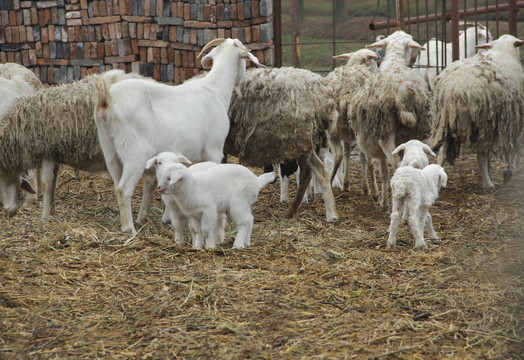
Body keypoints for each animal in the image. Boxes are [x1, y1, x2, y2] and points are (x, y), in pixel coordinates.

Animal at [0, 69, 147, 218]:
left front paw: (45, 216)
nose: (9, 212)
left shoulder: (47, 152)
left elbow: (47, 183)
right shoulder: (55, 153)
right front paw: (51, 210)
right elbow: (53, 183)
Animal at [94, 37, 264, 233]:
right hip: (134, 152)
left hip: (109, 150)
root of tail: (107, 99)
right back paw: (129, 228)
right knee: (124, 189)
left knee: (116, 184)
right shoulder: (214, 149)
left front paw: (168, 216)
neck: (214, 90)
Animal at [225, 65, 340, 222]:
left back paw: (318, 213)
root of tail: (323, 96)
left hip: (298, 140)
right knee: (316, 173)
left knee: (311, 173)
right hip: (305, 144)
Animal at [348, 31, 430, 211]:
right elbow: (384, 172)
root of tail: (401, 94)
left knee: (397, 165)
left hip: (386, 136)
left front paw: (381, 199)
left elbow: (380, 170)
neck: (394, 64)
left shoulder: (374, 144)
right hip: (415, 136)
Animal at [430, 34, 524, 193]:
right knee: (480, 155)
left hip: (445, 122)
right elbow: (512, 149)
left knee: (441, 154)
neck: (503, 51)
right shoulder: (512, 119)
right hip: (484, 122)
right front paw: (508, 171)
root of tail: (454, 89)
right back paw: (488, 185)